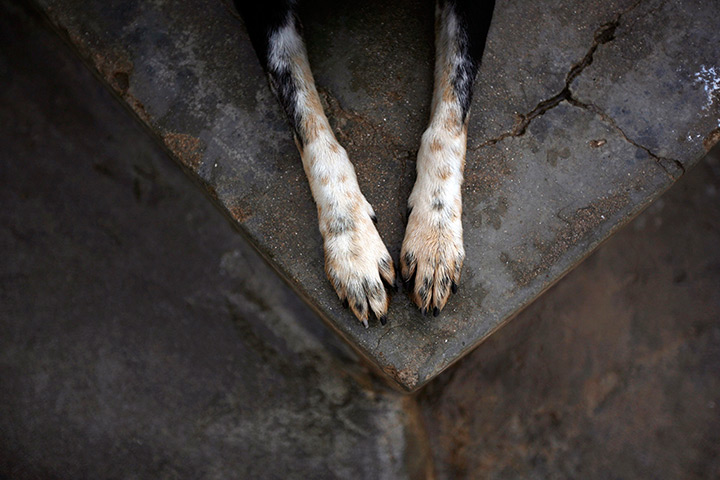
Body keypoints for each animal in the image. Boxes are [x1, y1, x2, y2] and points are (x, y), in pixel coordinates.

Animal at [236, 0, 496, 326]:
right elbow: (312, 130)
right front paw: (352, 246)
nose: (436, 235)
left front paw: (435, 236)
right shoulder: (264, 12)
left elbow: (448, 120)